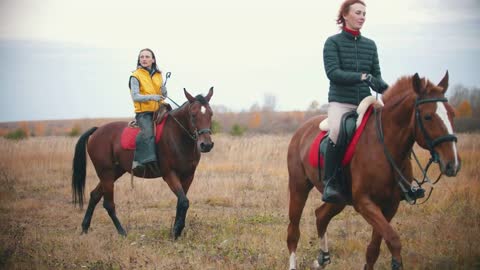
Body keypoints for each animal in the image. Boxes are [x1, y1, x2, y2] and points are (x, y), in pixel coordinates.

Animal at [71, 87, 214, 238]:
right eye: (193, 114)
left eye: (211, 114)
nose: (206, 145)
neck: (177, 136)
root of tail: (97, 130)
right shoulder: (169, 174)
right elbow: (184, 202)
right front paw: (176, 231)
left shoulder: (188, 176)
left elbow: (181, 202)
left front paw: (177, 230)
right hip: (106, 173)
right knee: (108, 204)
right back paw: (122, 232)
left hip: (115, 172)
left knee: (94, 195)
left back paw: (85, 227)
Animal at [286, 72, 460, 270]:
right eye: (428, 116)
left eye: (452, 114)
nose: (452, 164)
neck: (386, 146)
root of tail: (302, 130)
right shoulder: (365, 203)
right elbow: (393, 239)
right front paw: (396, 262)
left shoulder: (390, 205)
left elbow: (374, 249)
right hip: (299, 188)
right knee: (293, 231)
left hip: (339, 199)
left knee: (321, 216)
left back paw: (322, 258)